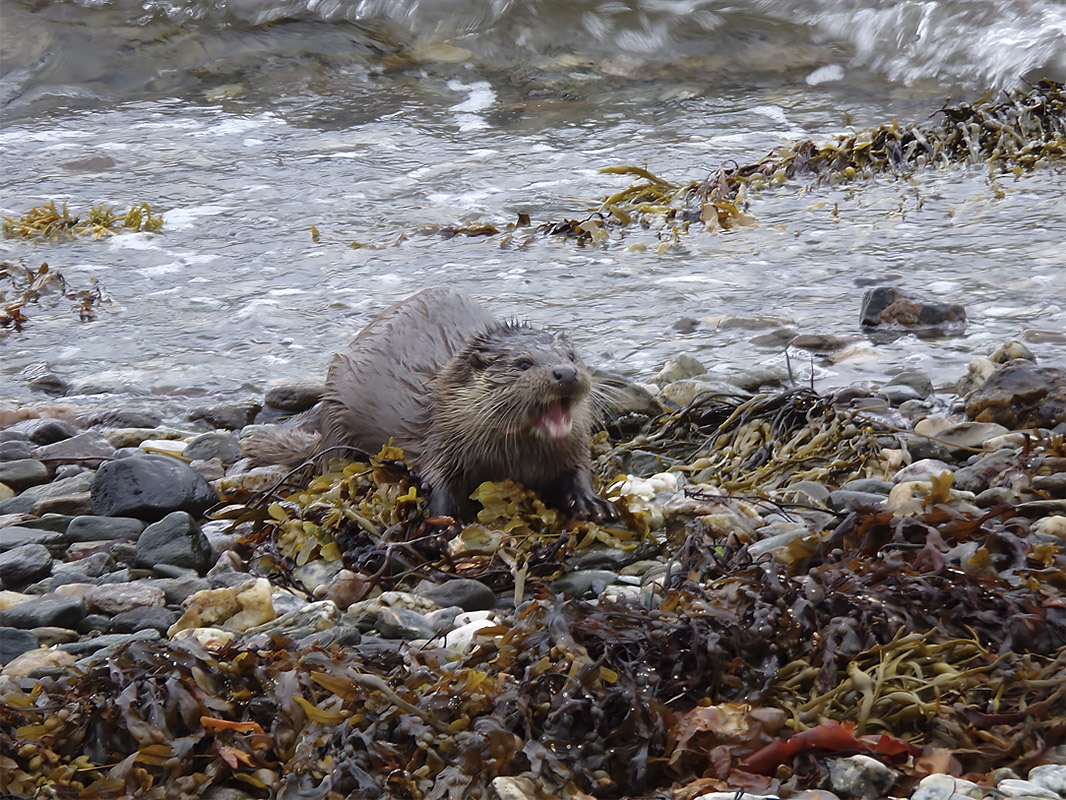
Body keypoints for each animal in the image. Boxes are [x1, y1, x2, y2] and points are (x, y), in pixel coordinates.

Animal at [245, 288, 617, 523]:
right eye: (523, 364)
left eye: (572, 356)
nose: (566, 373)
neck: (518, 462)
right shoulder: (443, 443)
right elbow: (438, 484)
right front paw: (443, 524)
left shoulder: (573, 447)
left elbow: (578, 471)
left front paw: (591, 502)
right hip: (337, 415)